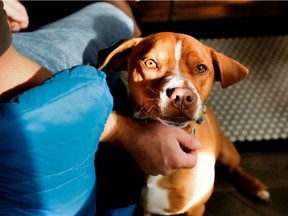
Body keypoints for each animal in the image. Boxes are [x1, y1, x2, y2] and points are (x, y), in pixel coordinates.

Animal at [97, 32, 270, 216]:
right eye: (150, 63)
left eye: (201, 68)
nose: (181, 96)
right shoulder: (145, 209)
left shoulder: (195, 208)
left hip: (227, 152)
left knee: (234, 168)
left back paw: (256, 187)